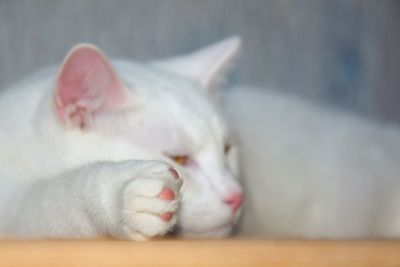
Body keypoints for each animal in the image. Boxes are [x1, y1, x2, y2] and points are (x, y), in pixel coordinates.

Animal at [0, 36, 244, 240]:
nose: (237, 197)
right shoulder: (11, 206)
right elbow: (49, 198)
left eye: (227, 149)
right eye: (179, 158)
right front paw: (120, 191)